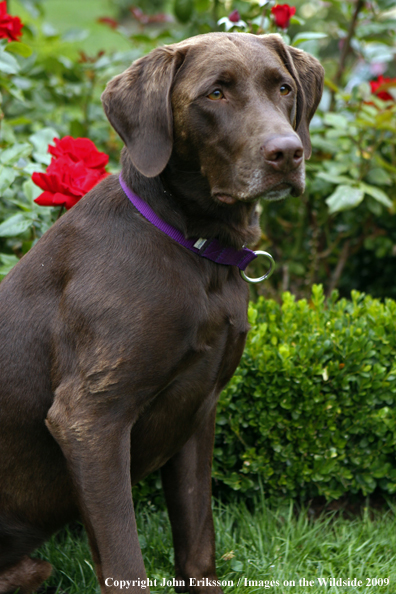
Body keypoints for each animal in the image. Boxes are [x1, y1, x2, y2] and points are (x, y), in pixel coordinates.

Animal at [0, 33, 322, 592]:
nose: (288, 152)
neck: (197, 252)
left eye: (283, 87)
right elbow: (126, 560)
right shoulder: (89, 420)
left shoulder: (198, 409)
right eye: (215, 93)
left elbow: (197, 541)